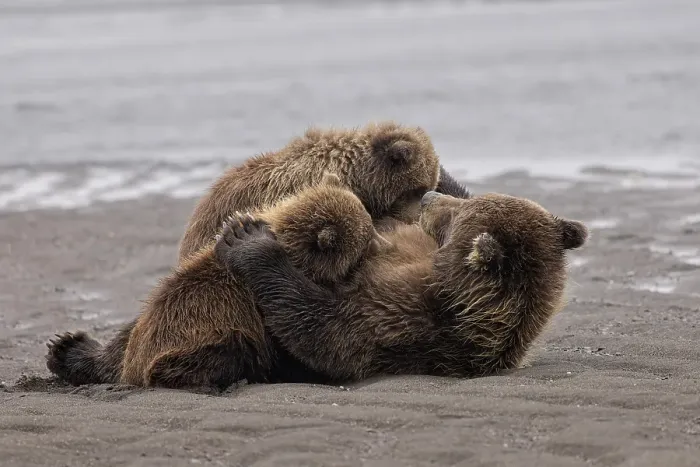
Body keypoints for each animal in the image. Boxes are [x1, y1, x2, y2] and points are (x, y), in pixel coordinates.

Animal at [46, 174, 387, 390]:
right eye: (367, 236)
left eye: (369, 222)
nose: (385, 243)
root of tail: (133, 370)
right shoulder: (260, 312)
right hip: (203, 341)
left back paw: (66, 349)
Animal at [214, 190, 589, 381]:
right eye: (468, 199)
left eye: (457, 213)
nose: (428, 196)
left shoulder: (405, 318)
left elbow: (323, 328)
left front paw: (247, 238)